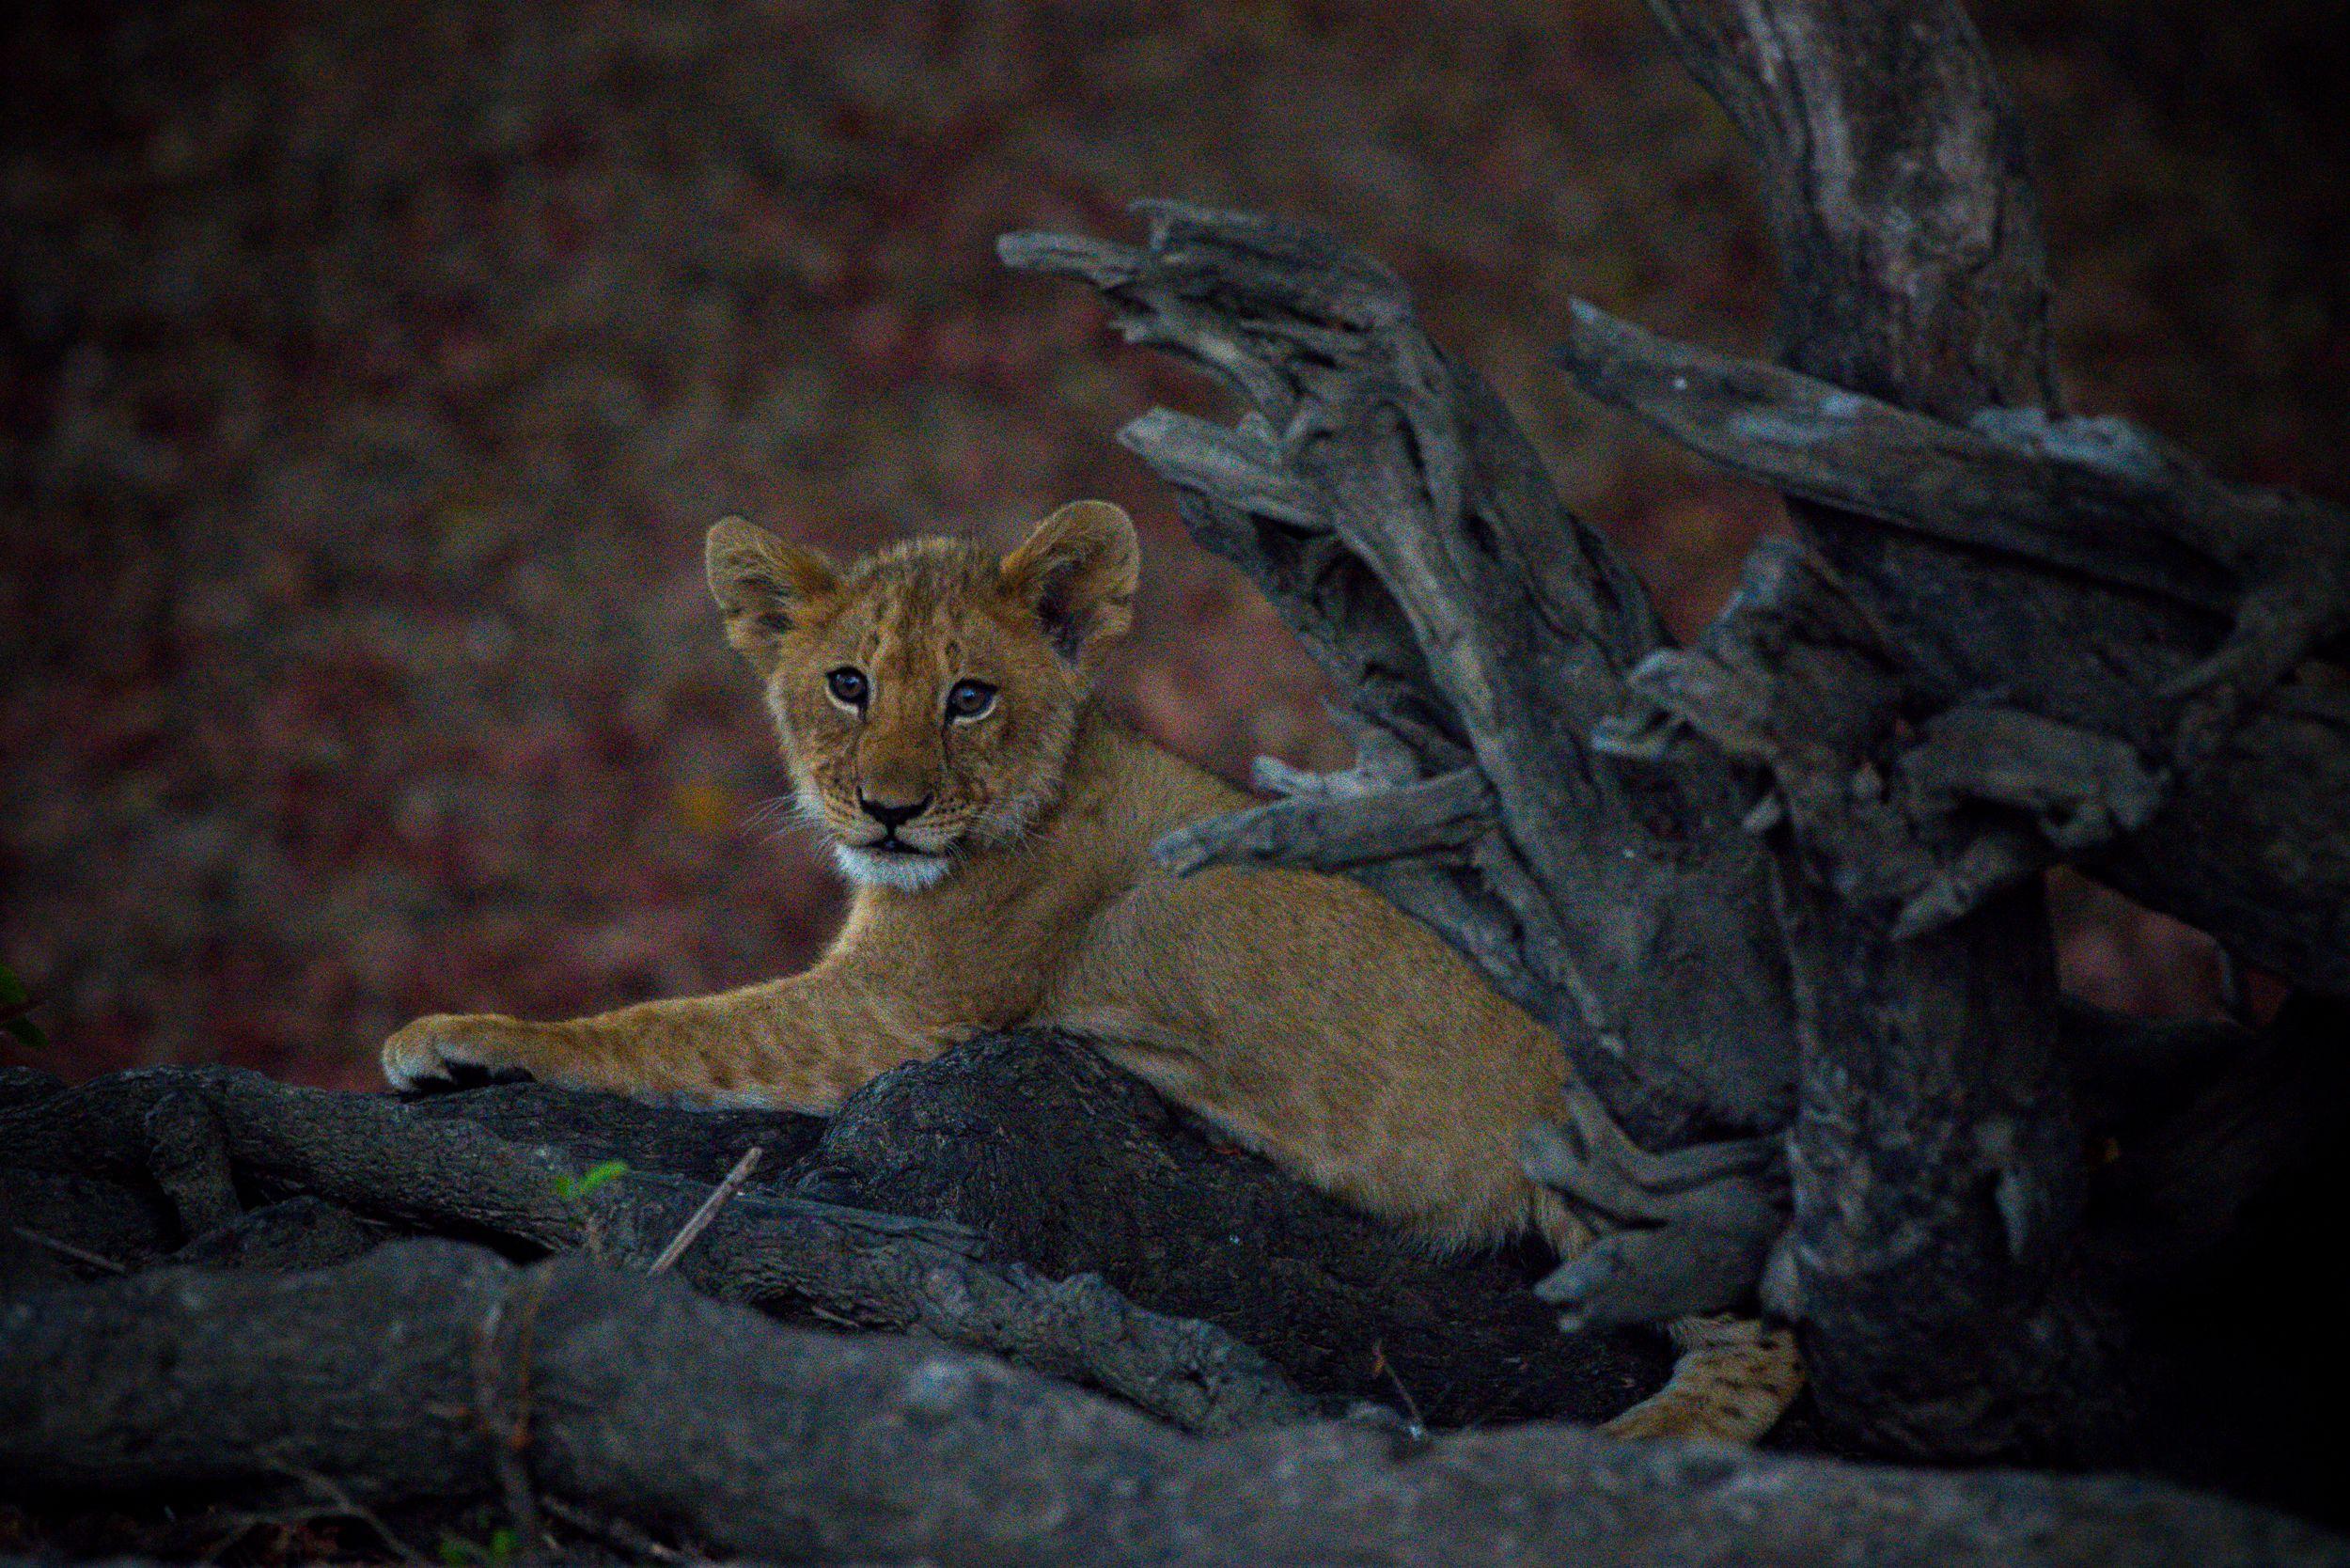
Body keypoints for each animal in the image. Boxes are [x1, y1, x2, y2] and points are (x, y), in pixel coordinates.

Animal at [383, 499, 1800, 1441]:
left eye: (968, 696)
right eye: (845, 684)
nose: (888, 810)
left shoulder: (894, 1015)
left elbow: (667, 1027)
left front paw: (464, 1033)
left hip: (1600, 1158)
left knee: (1766, 1346)